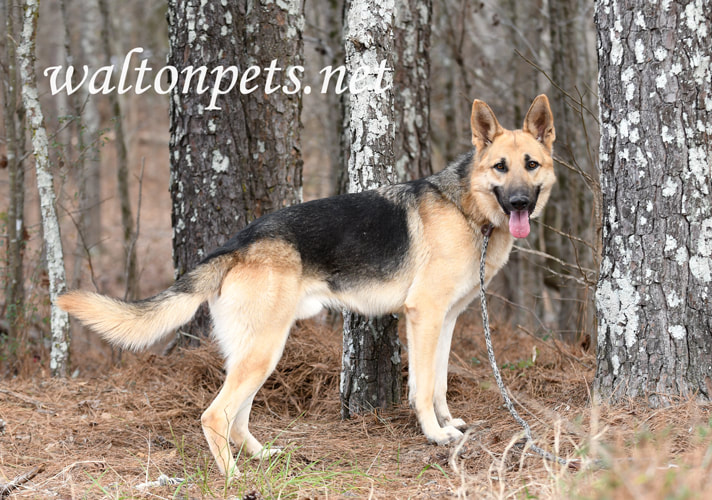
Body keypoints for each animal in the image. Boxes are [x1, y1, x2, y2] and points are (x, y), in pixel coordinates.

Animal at [57, 95, 556, 474]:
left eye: (530, 165)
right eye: (500, 167)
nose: (518, 202)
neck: (468, 209)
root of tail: (236, 244)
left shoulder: (446, 320)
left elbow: (440, 384)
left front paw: (448, 424)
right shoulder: (424, 316)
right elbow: (421, 388)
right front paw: (435, 435)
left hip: (258, 351)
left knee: (237, 418)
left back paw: (263, 457)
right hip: (264, 350)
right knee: (215, 415)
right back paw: (233, 477)